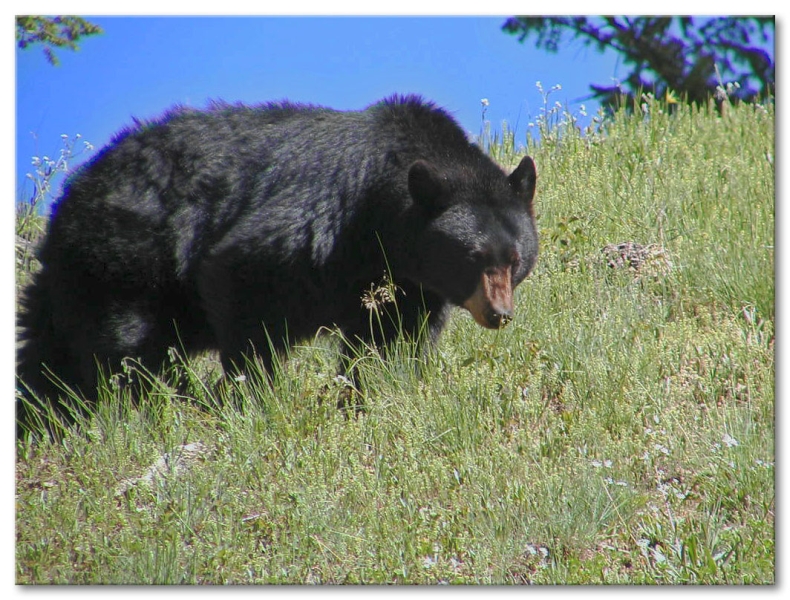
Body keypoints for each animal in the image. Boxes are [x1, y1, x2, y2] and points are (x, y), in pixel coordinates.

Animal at [17, 92, 540, 422]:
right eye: (475, 257)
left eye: (514, 260)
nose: (499, 313)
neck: (383, 214)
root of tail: (68, 198)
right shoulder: (322, 221)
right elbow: (245, 276)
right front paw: (255, 395)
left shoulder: (407, 281)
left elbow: (390, 339)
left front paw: (368, 394)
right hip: (125, 255)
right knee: (123, 345)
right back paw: (146, 404)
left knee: (47, 348)